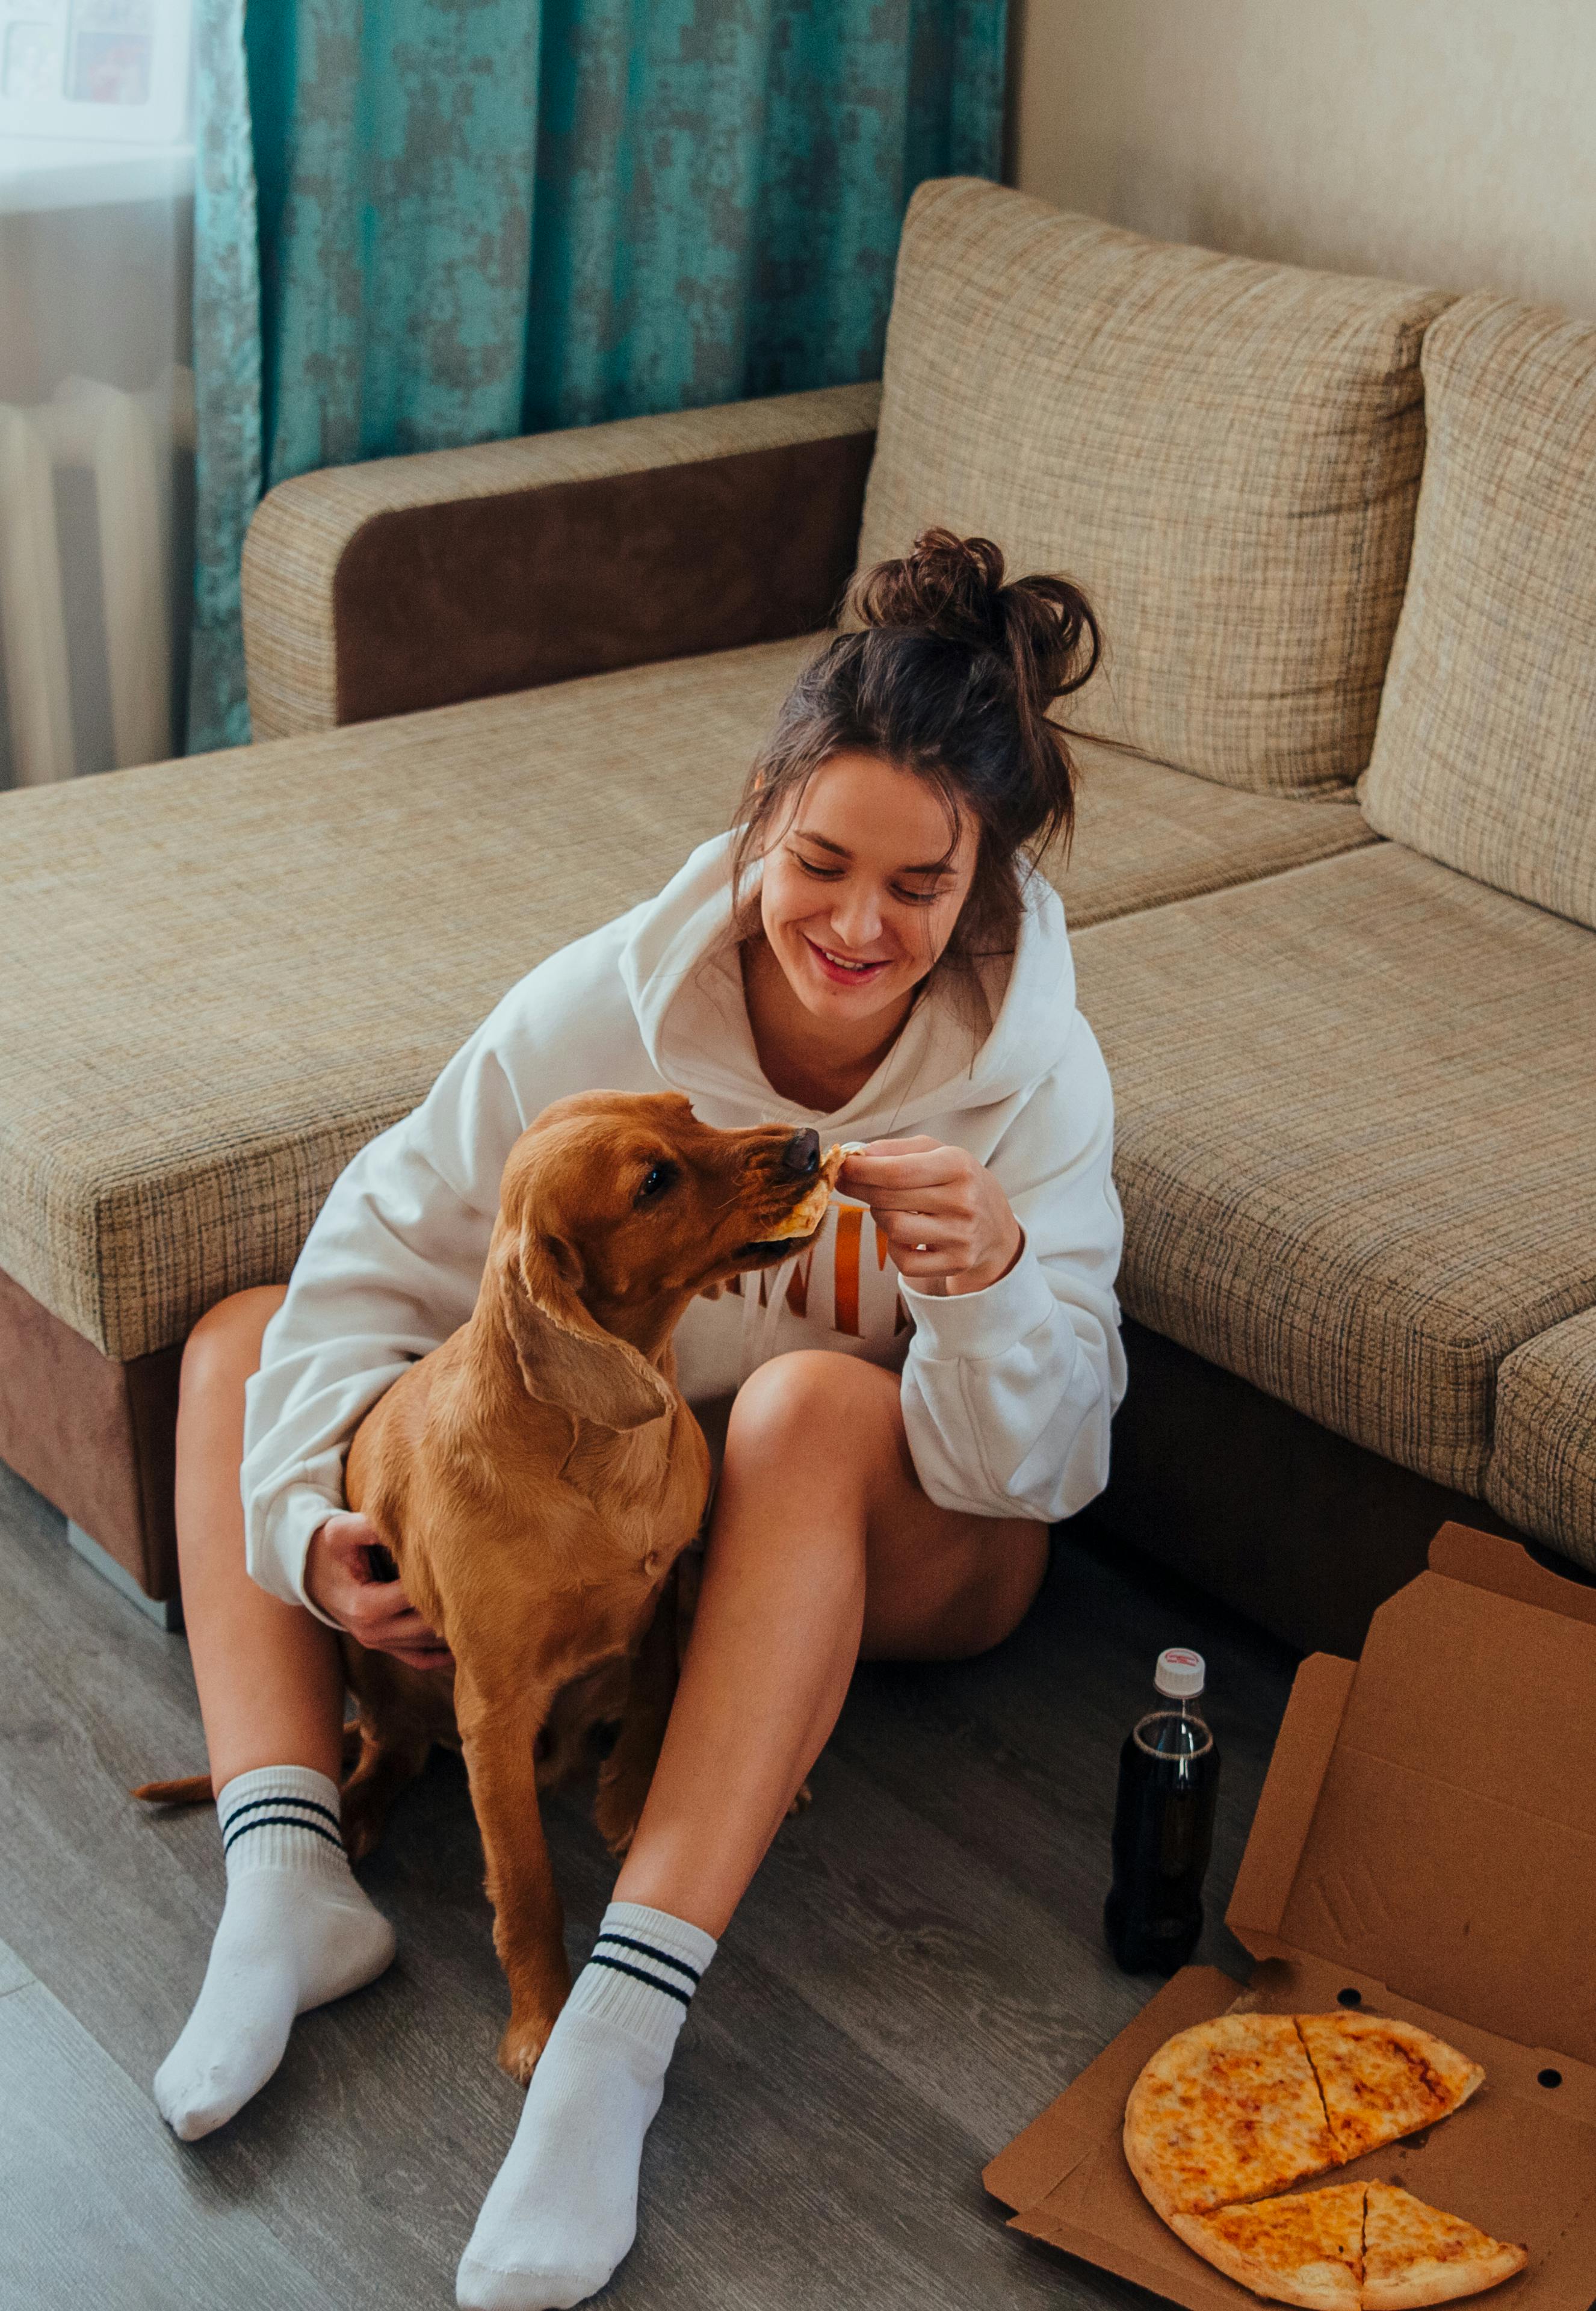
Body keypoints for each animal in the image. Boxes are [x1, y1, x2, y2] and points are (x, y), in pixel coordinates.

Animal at [140, 1091, 836, 2089]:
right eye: (653, 1182)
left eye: (689, 1110)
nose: (809, 1143)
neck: (598, 1454)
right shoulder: (493, 1711)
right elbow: (526, 1884)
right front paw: (541, 2021)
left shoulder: (663, 1588)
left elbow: (662, 1683)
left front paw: (635, 1793)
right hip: (381, 1672)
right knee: (388, 1751)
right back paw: (351, 1815)